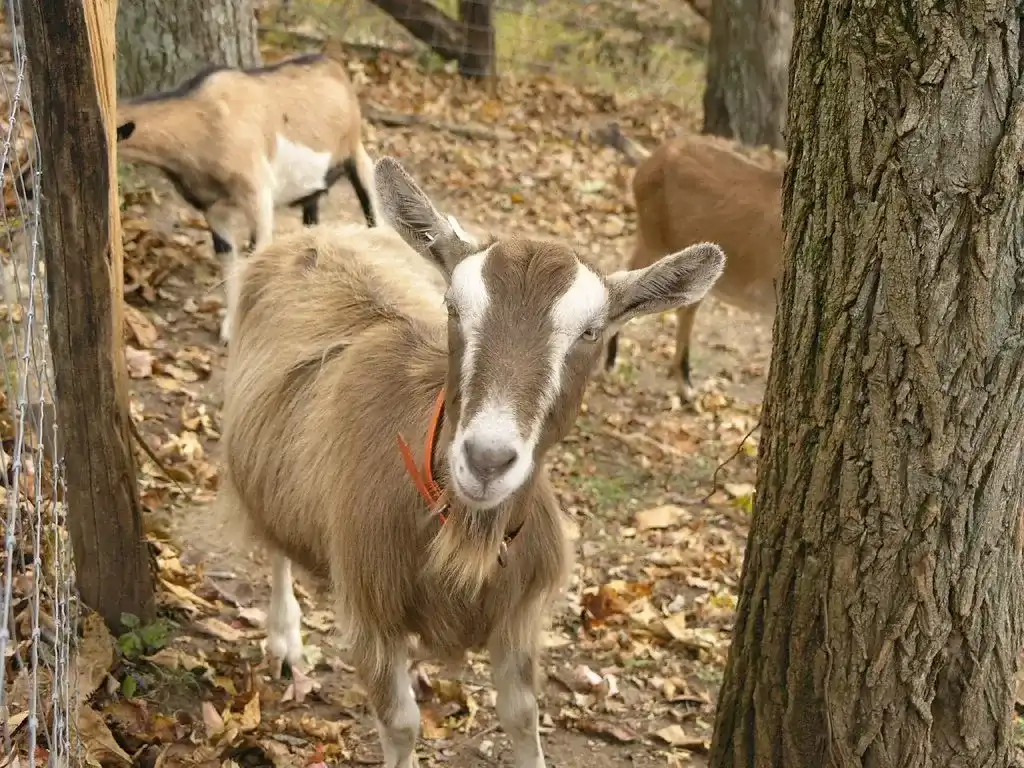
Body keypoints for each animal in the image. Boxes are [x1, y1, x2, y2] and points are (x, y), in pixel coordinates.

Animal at [115, 54, 380, 342]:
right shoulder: (214, 207)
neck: (203, 119)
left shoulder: (258, 191)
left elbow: (257, 253)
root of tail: (332, 65)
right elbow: (227, 257)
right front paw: (230, 328)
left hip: (356, 154)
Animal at [218, 153, 729, 765]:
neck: (458, 532)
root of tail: (316, 236)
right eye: (452, 306)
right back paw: (286, 642)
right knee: (275, 544)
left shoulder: (516, 619)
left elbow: (523, 716)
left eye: (590, 332)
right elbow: (401, 725)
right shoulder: (369, 609)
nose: (487, 460)